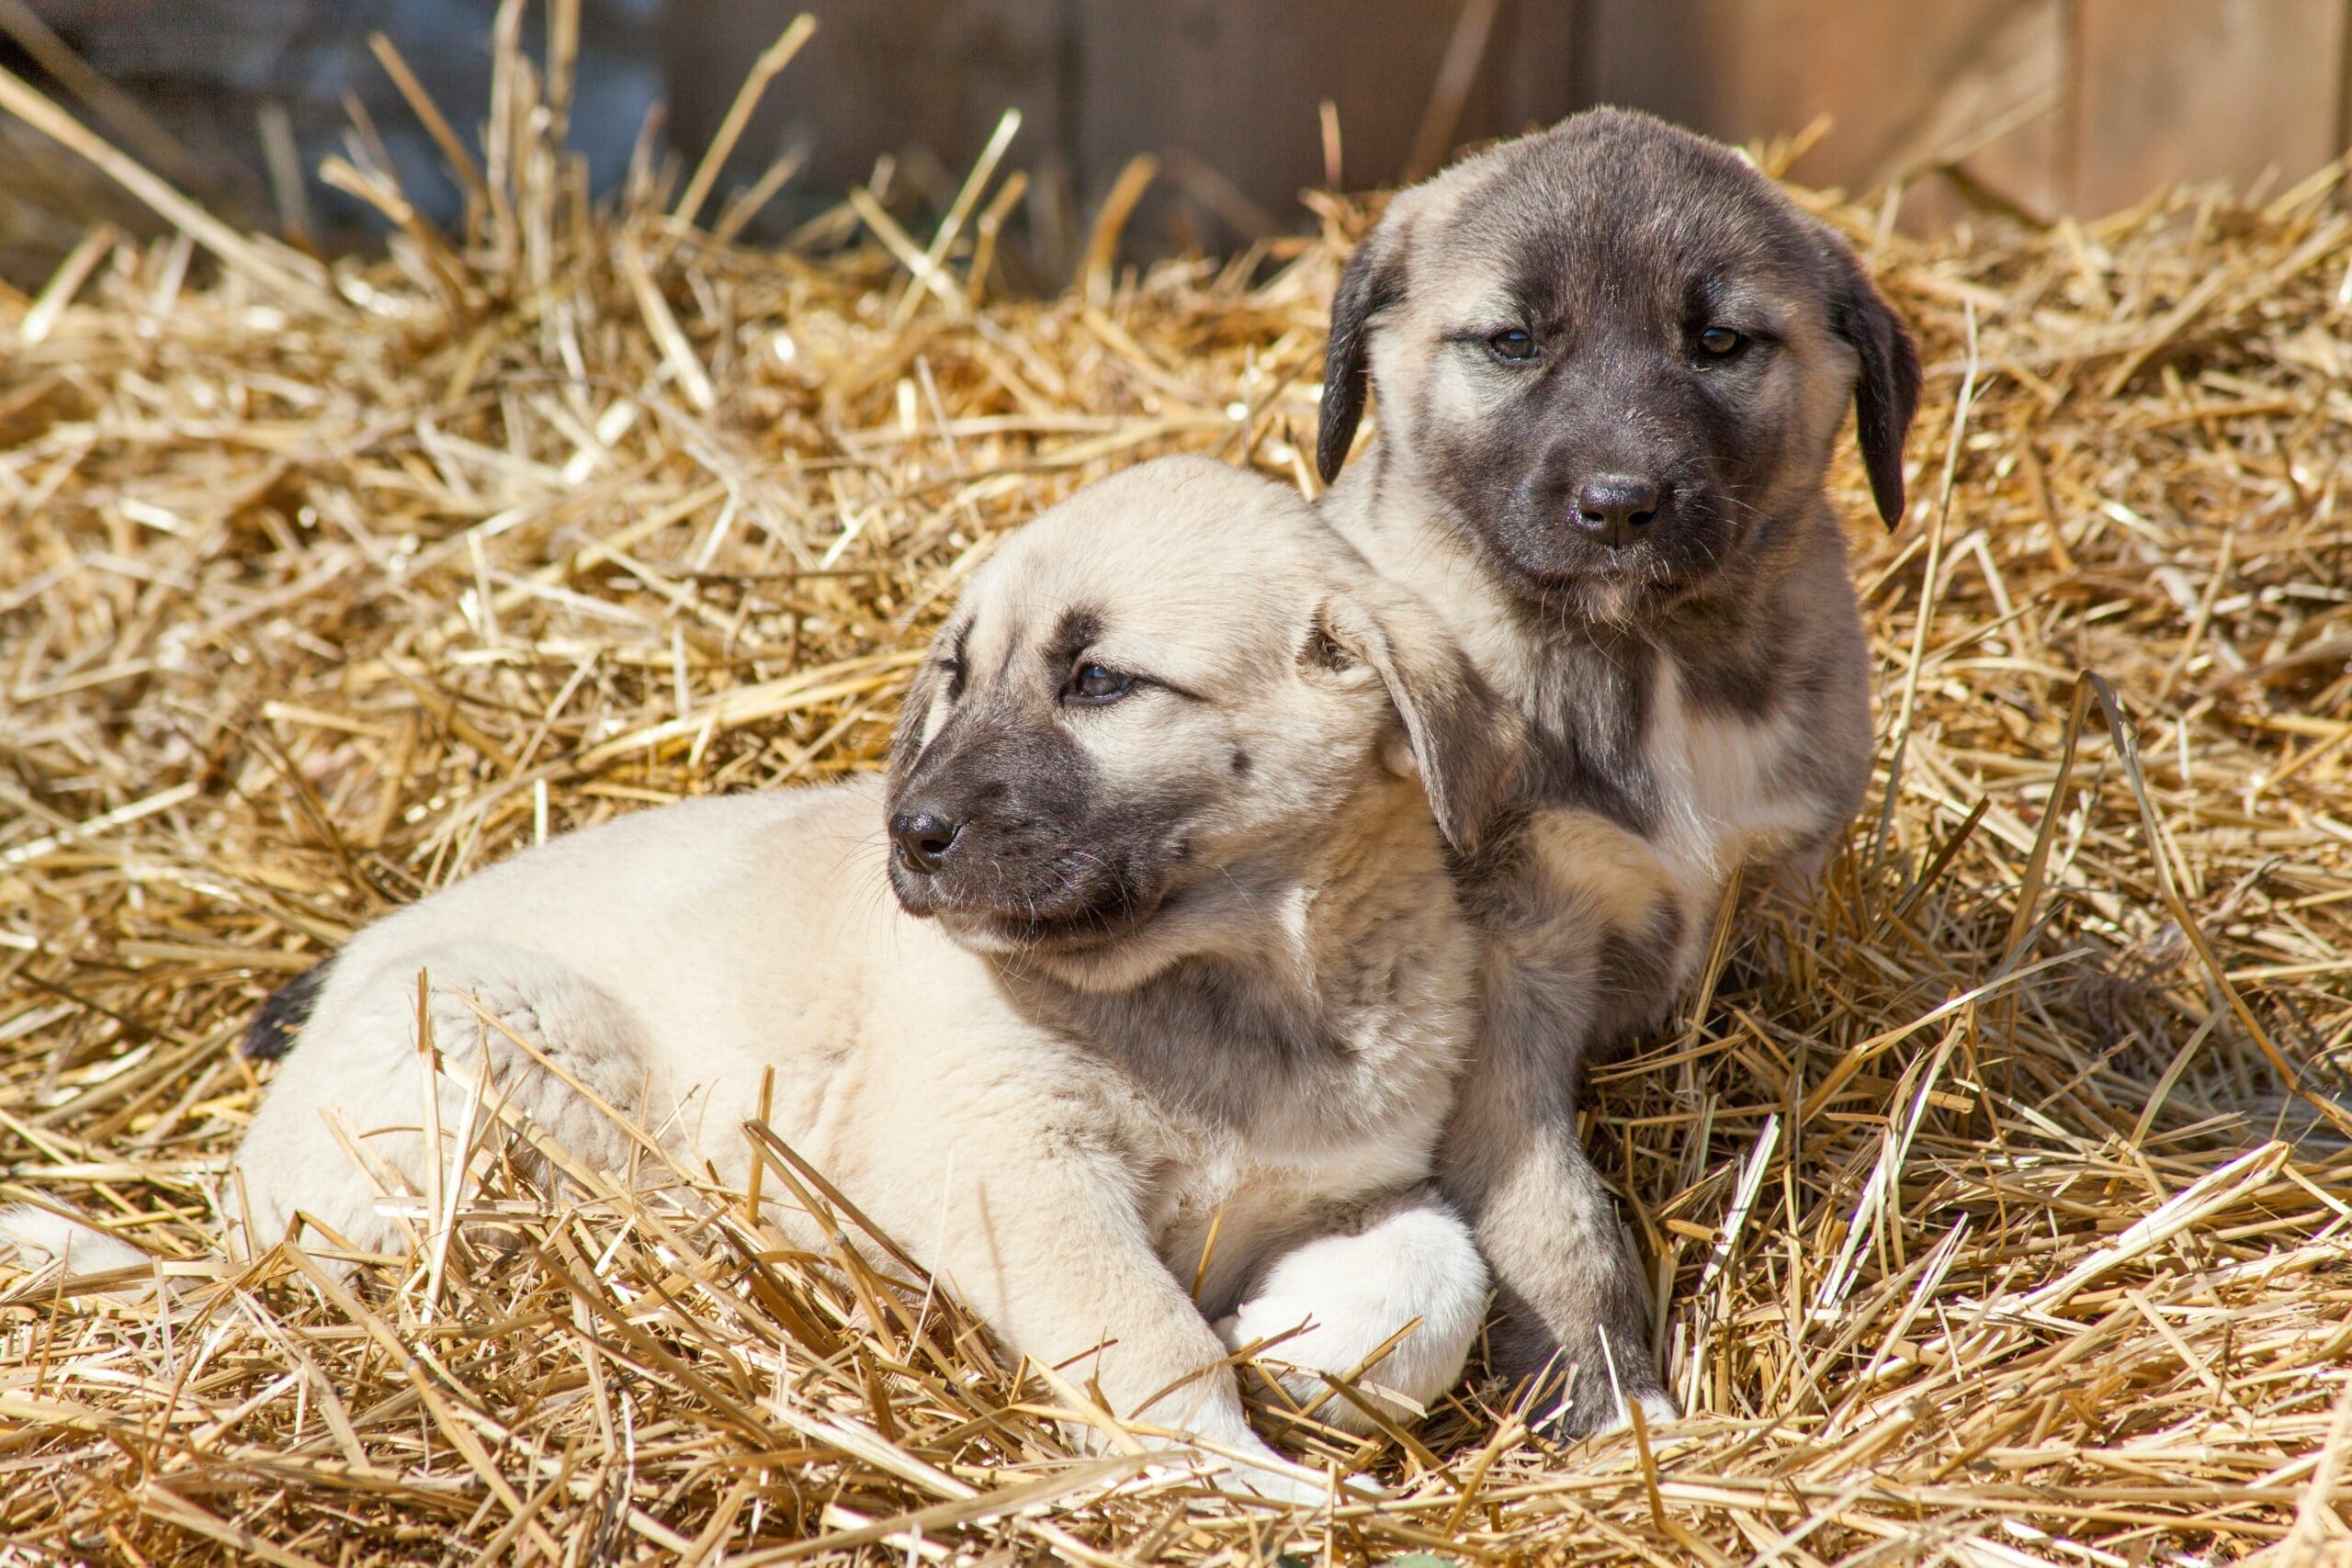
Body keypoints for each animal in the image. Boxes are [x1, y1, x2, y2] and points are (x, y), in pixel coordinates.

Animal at [101, 460, 1514, 1504]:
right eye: (957, 678)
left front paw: (1301, 1343)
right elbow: (1147, 1341)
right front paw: (1250, 1481)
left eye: (1099, 680)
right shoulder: (1009, 1164)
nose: (912, 834)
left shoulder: (1351, 1177)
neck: (1227, 981)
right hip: (508, 1023)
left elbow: (1440, 1276)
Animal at [1317, 107, 1918, 1438]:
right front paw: (1608, 1401)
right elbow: (1555, 1221)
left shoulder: (1777, 904)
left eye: (1720, 341)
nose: (1621, 502)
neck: (1646, 660)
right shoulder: (1506, 973)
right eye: (1513, 340)